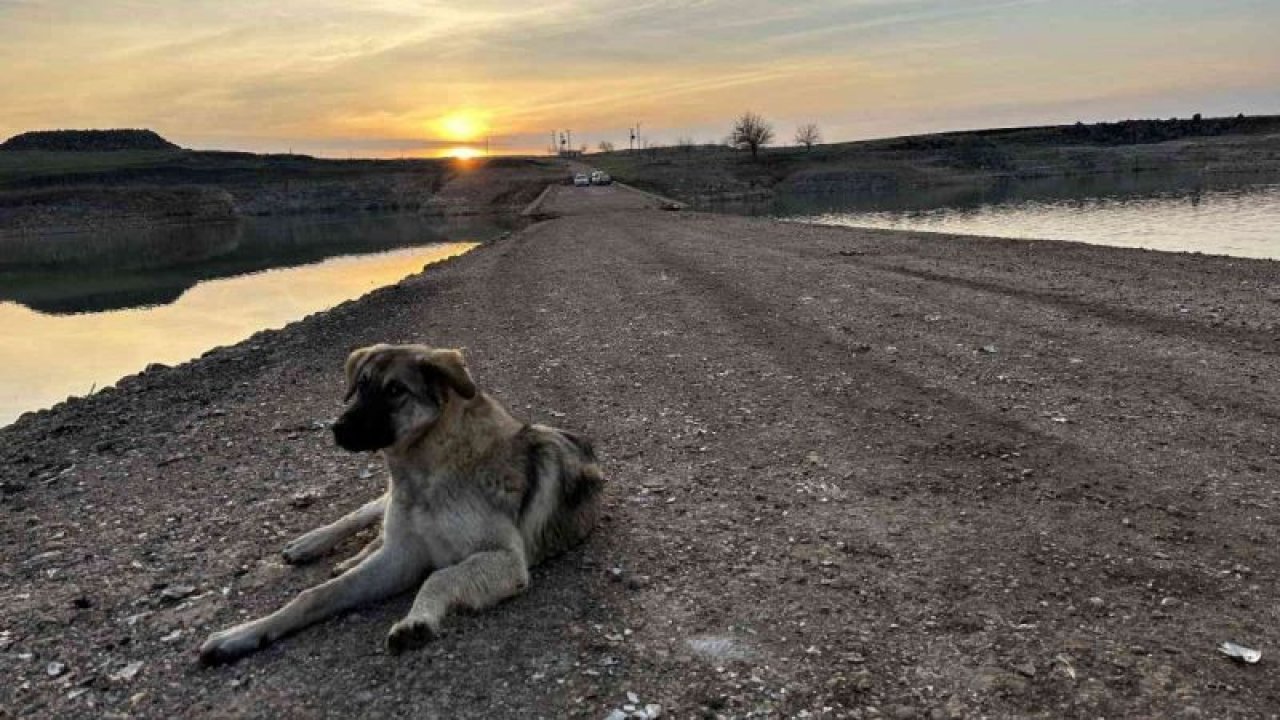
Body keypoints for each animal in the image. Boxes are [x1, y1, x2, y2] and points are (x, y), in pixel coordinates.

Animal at [195, 340, 604, 661]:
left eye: (395, 391)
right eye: (360, 386)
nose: (337, 429)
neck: (425, 472)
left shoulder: (503, 558)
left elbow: (439, 576)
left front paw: (416, 620)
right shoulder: (400, 556)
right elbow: (314, 595)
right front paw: (242, 634)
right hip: (385, 508)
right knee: (364, 513)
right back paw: (311, 543)